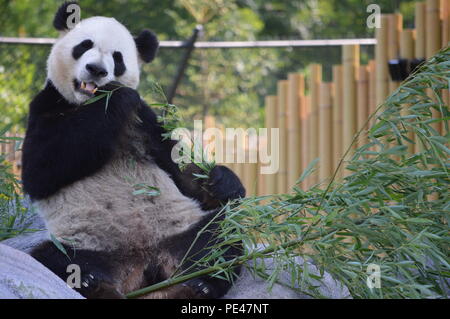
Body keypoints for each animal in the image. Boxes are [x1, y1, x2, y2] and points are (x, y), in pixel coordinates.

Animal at [21, 1, 244, 300]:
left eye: (117, 58)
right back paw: (92, 282)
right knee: (56, 258)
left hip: (179, 230)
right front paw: (117, 97)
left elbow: (184, 174)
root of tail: (143, 263)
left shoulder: (144, 121)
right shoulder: (47, 106)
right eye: (84, 45)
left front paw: (222, 181)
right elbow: (42, 170)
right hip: (89, 243)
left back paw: (201, 284)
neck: (89, 103)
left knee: (220, 234)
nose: (96, 70)